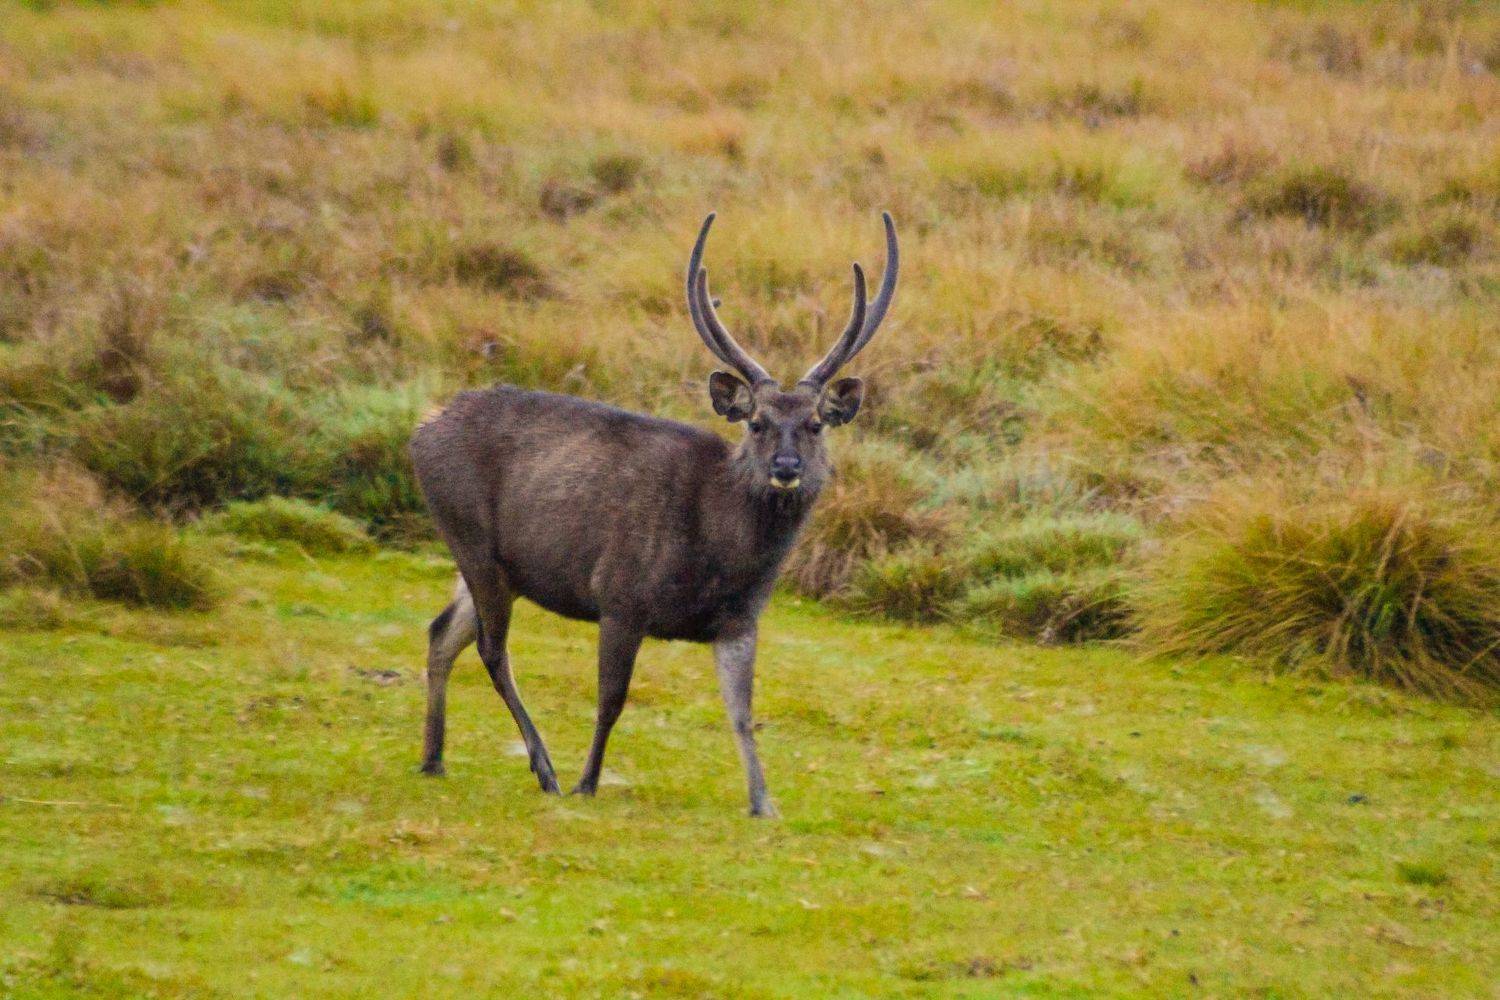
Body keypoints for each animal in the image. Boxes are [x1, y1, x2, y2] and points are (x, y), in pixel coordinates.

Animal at [409, 211, 898, 816]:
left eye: (815, 424)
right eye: (756, 422)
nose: (786, 468)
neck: (719, 556)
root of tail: (422, 428)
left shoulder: (740, 619)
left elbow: (742, 714)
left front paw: (764, 802)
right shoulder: (621, 593)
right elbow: (611, 699)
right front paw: (587, 782)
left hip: (495, 564)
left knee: (442, 631)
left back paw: (433, 757)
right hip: (470, 536)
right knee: (491, 649)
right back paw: (545, 769)